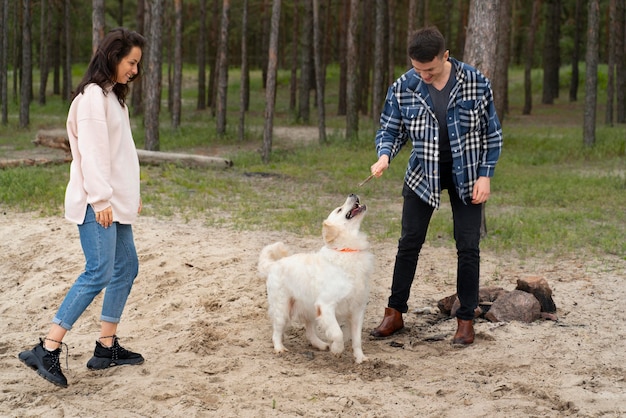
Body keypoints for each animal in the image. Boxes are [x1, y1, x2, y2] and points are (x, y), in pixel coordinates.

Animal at [256, 194, 372, 364]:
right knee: (276, 330)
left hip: (308, 307)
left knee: (309, 331)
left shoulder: (357, 309)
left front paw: (361, 358)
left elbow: (357, 339)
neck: (347, 250)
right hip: (282, 307)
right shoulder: (326, 305)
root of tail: (274, 264)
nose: (353, 194)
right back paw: (279, 348)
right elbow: (338, 333)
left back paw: (320, 344)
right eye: (339, 209)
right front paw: (337, 350)